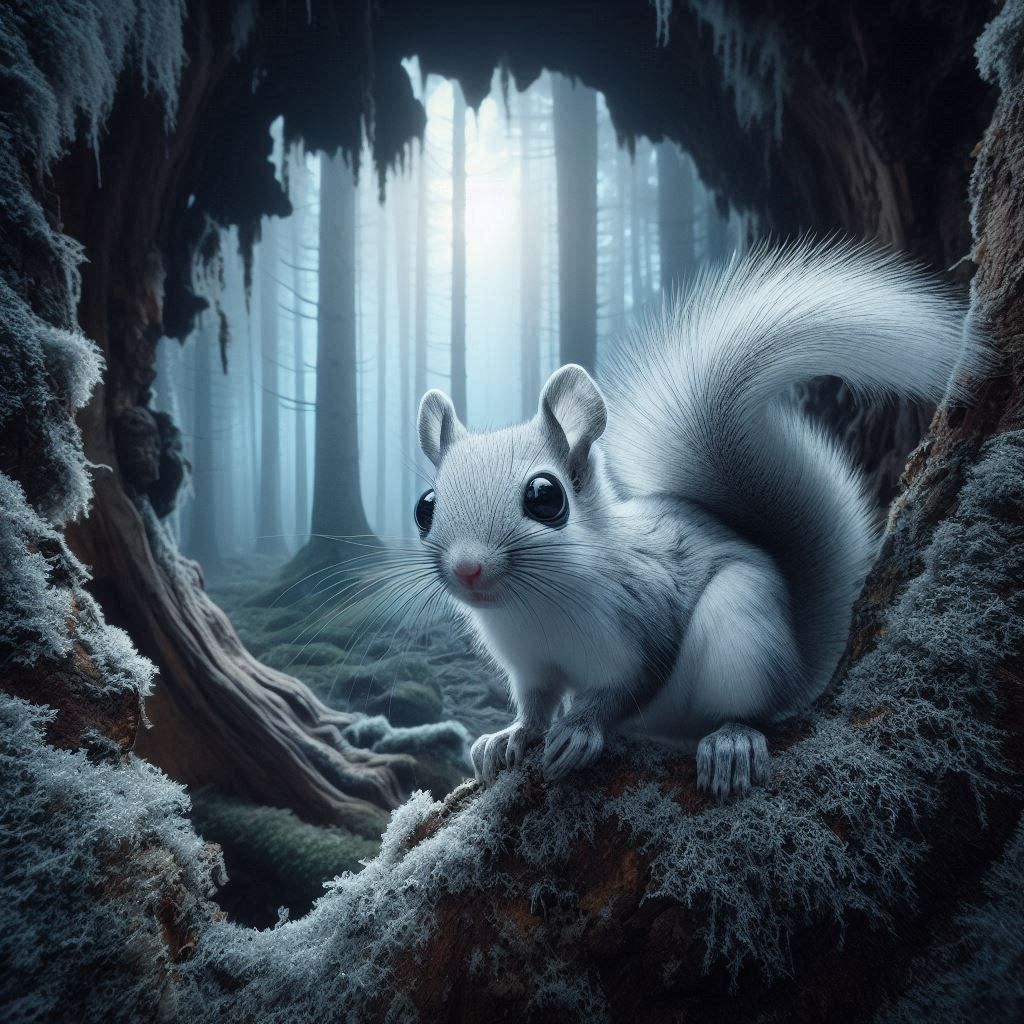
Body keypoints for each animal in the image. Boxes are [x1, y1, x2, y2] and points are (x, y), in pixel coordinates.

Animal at [413, 240, 985, 799]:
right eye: (425, 507)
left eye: (545, 497)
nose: (467, 569)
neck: (536, 604)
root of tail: (798, 665)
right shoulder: (530, 664)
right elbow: (535, 703)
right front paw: (510, 736)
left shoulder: (645, 618)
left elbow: (627, 687)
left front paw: (579, 729)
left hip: (743, 631)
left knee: (750, 710)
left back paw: (732, 742)